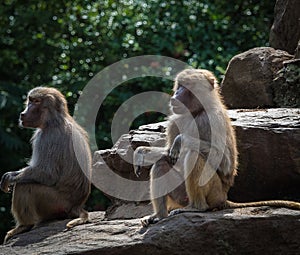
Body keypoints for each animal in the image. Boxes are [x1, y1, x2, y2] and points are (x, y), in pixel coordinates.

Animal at [0, 87, 91, 243]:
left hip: (56, 203)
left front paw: (11, 178)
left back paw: (24, 226)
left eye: (36, 101)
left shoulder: (47, 137)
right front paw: (11, 174)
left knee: (25, 186)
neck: (53, 121)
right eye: (29, 100)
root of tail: (76, 205)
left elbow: (48, 175)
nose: (22, 113)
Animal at [135, 68, 300, 226]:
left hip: (215, 192)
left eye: (185, 87)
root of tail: (224, 197)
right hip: (182, 196)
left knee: (194, 155)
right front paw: (141, 152)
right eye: (179, 85)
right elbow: (169, 153)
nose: (175, 94)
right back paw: (160, 216)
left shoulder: (213, 119)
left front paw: (180, 140)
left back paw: (196, 207)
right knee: (161, 164)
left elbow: (224, 161)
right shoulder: (174, 121)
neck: (197, 111)